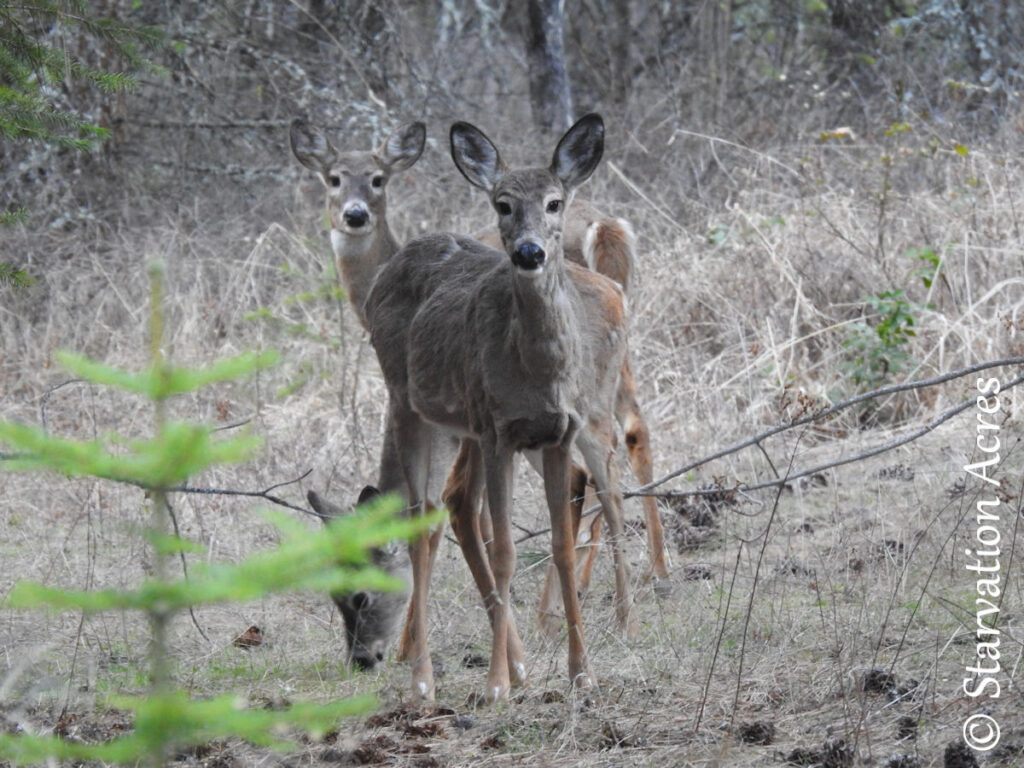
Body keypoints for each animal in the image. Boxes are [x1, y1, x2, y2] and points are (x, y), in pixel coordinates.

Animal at [364, 111, 634, 708]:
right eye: (502, 204)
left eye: (555, 202)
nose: (529, 252)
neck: (535, 375)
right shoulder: (496, 431)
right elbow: (507, 549)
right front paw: (495, 686)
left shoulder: (558, 433)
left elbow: (560, 544)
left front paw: (582, 674)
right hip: (407, 405)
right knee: (420, 517)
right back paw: (423, 679)